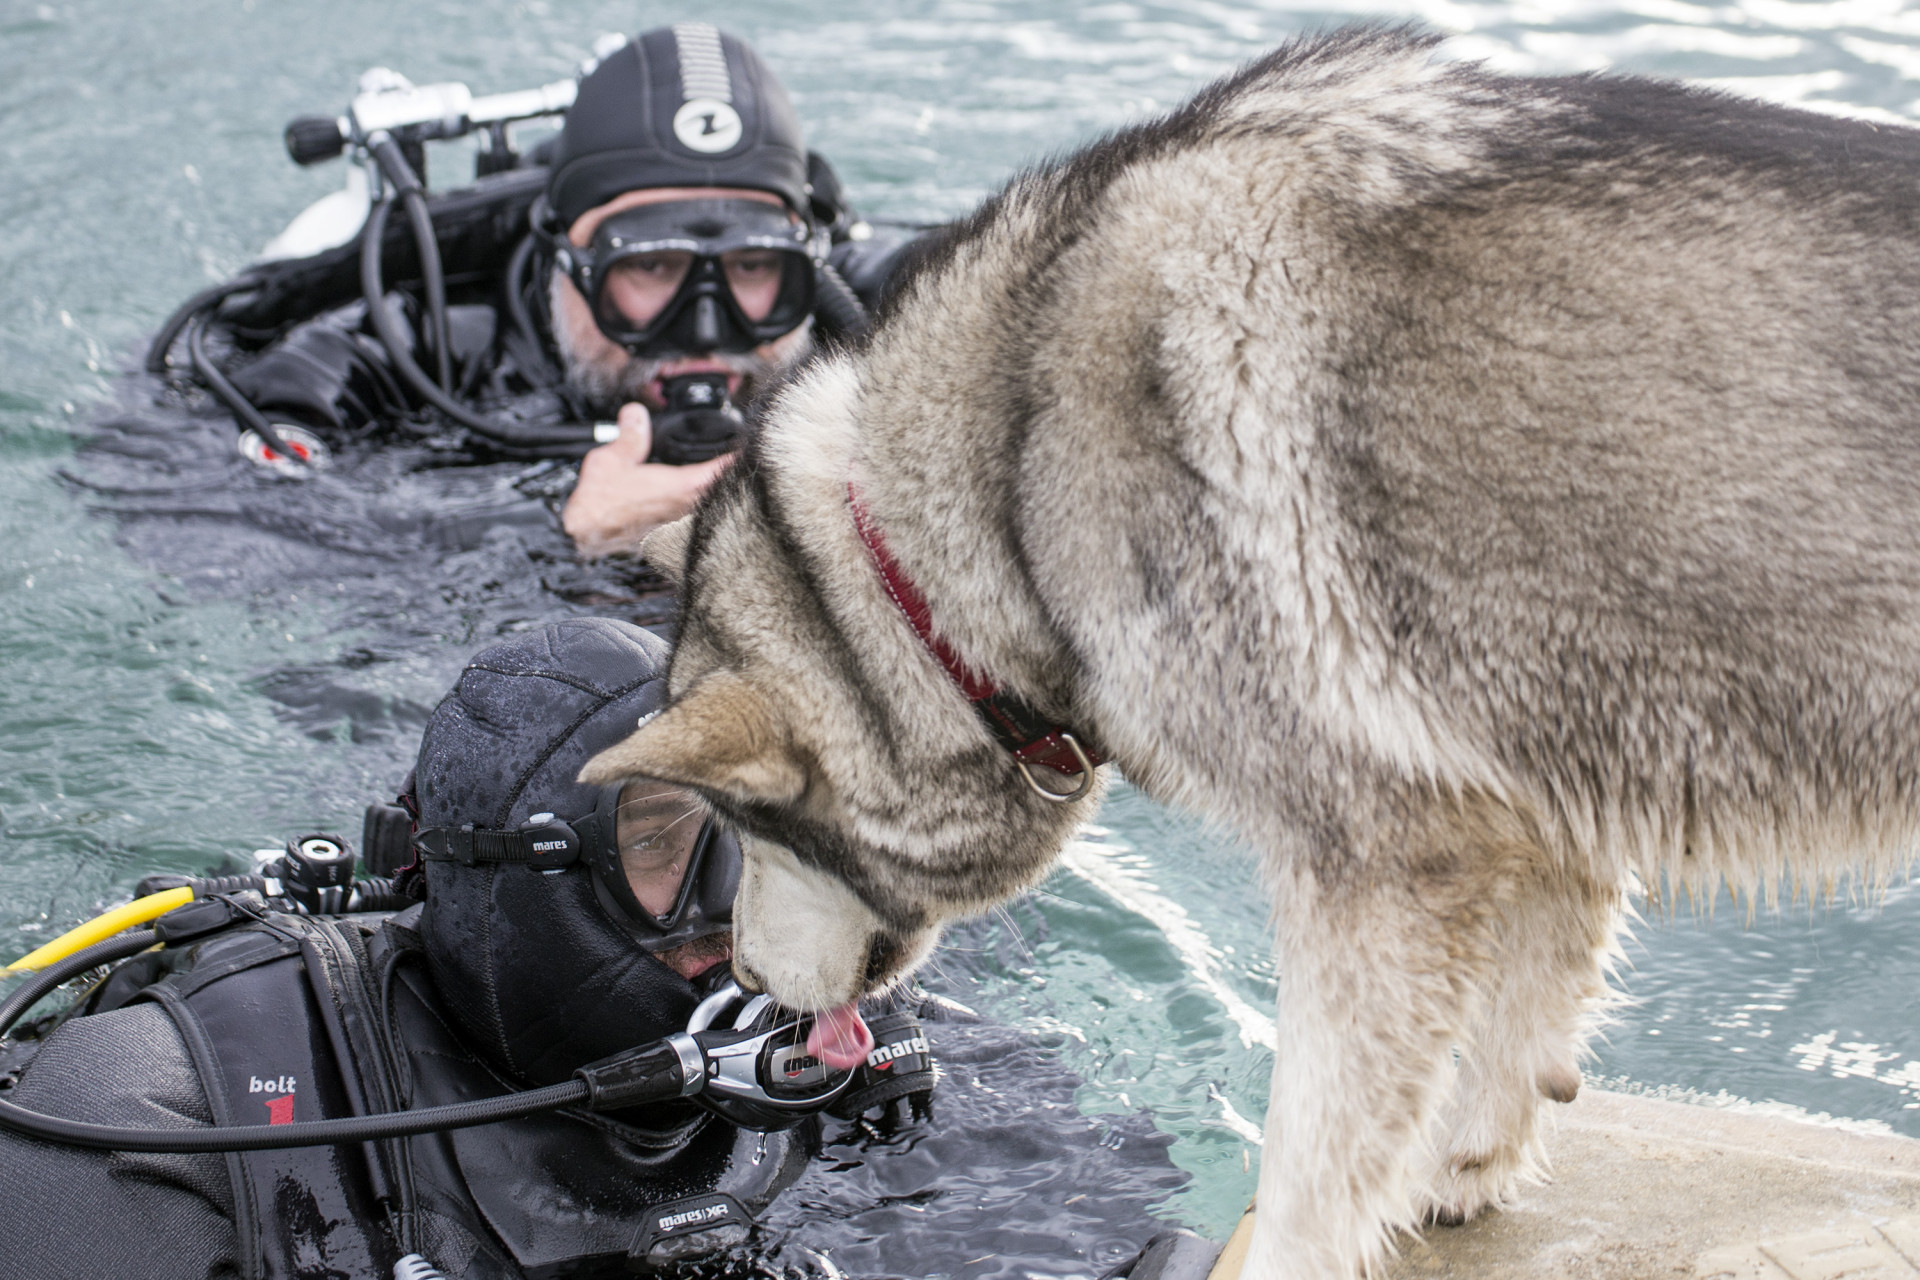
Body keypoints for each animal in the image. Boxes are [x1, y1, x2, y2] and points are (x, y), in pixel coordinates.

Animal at [580, 26, 1920, 1278]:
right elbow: (1518, 1024)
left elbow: (1312, 1163)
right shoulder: (1534, 794)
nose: (737, 970)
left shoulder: (1376, 866)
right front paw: (1466, 1166)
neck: (1004, 484)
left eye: (746, 829)